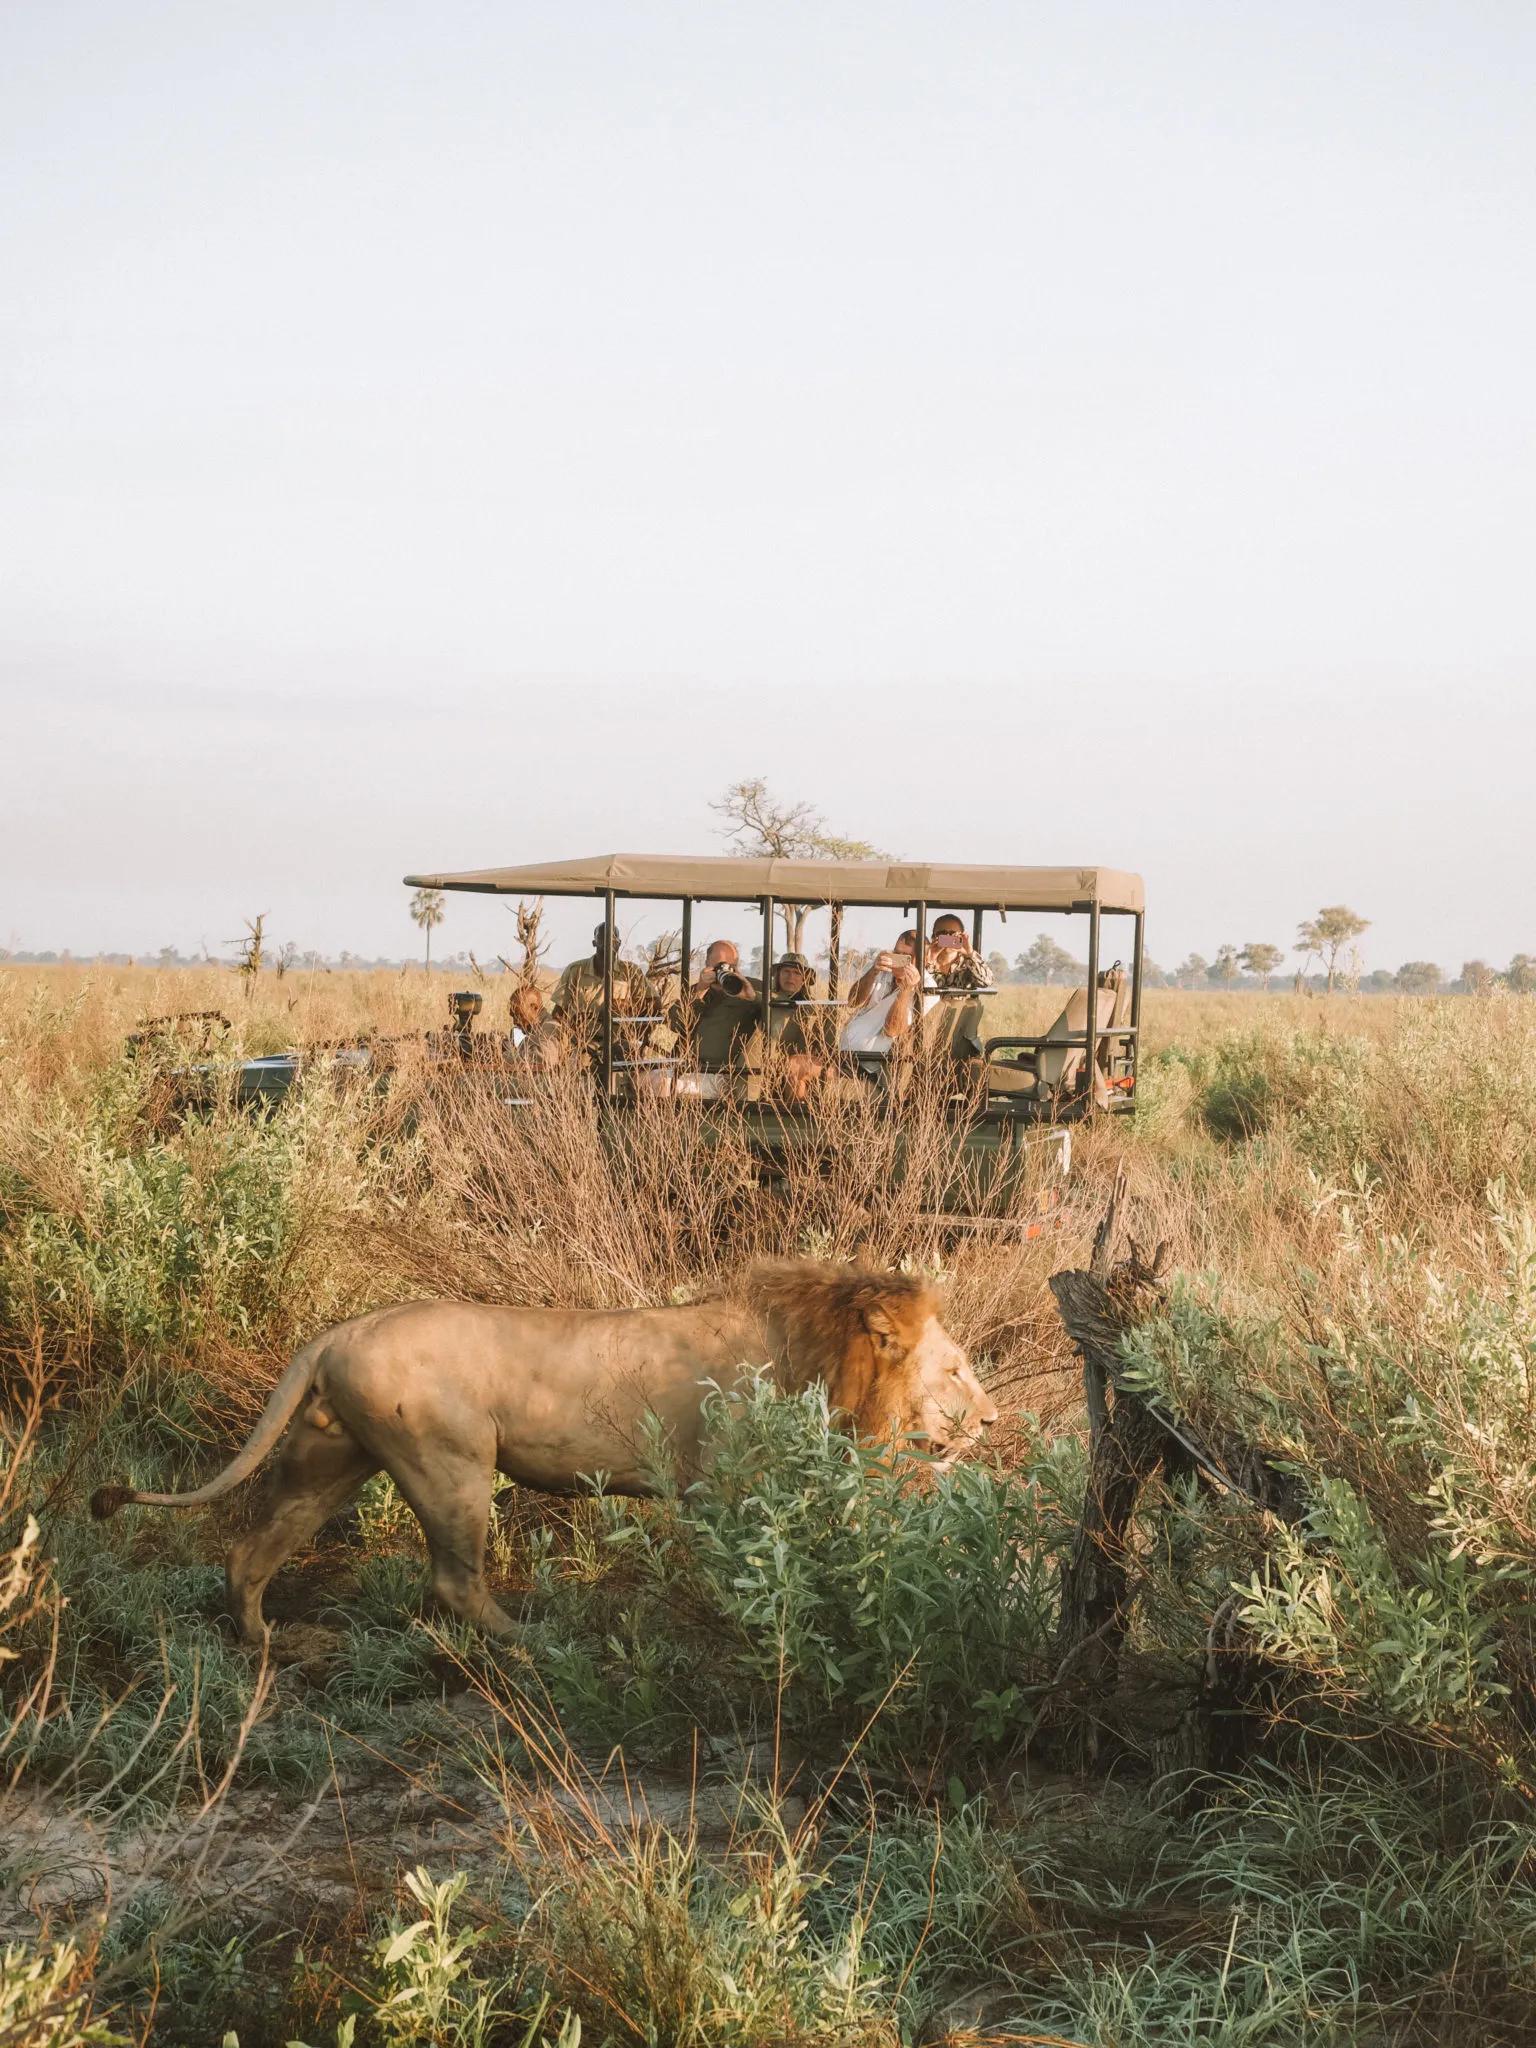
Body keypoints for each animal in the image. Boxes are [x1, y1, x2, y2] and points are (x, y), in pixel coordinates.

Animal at [90, 1253, 999, 1638]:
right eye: (955, 1368)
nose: (994, 1425)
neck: (819, 1351)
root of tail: (337, 1332)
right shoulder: (724, 1482)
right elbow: (744, 1563)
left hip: (332, 1458)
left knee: (252, 1550)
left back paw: (262, 1643)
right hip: (451, 1463)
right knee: (454, 1582)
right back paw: (535, 1643)